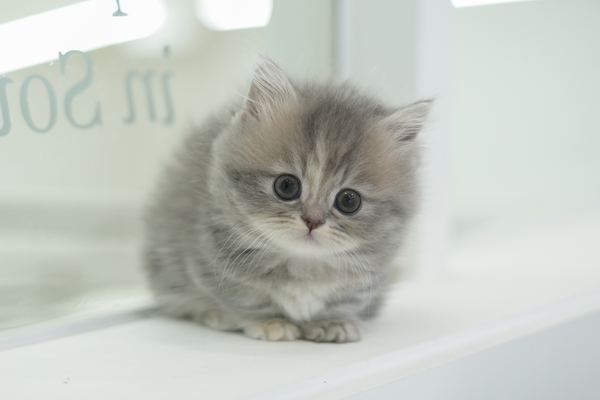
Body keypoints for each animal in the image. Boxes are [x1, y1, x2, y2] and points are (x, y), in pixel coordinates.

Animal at [144, 58, 432, 343]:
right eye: (286, 186)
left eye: (349, 201)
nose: (312, 220)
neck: (302, 265)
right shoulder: (208, 260)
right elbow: (244, 299)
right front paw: (270, 322)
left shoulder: (367, 278)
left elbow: (343, 302)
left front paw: (330, 321)